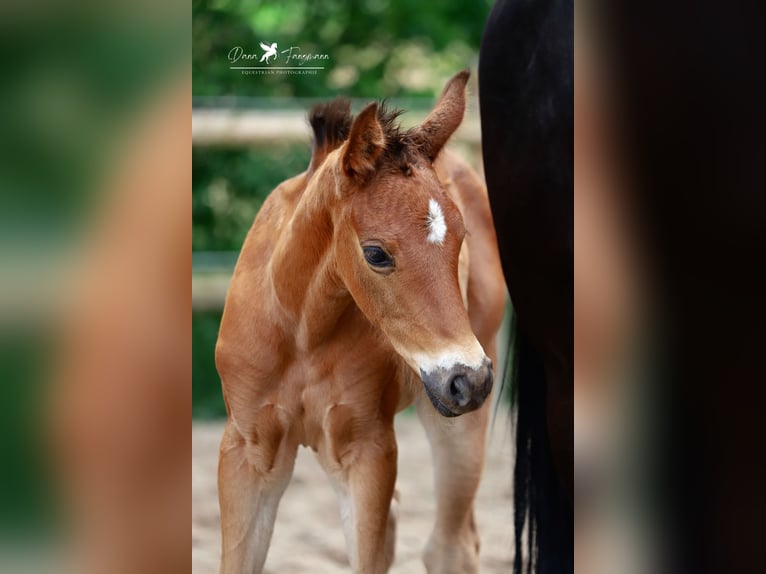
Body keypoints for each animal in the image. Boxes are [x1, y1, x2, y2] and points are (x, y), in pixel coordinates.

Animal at [216, 72, 508, 574]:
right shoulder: (248, 451)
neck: (301, 333)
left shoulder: (367, 449)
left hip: (459, 420)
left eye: (461, 239)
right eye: (375, 254)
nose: (468, 378)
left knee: (449, 545)